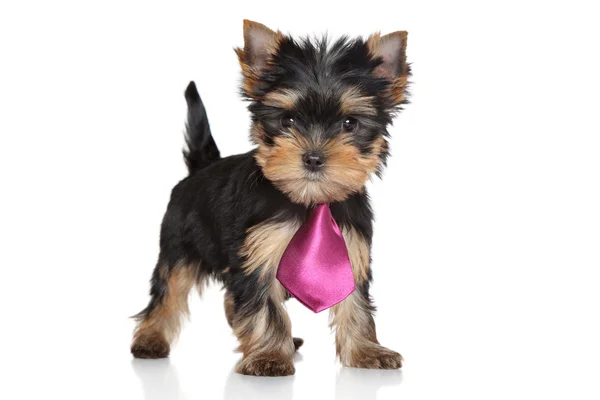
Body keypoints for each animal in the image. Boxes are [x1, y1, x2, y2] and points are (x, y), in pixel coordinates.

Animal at [131, 19, 410, 376]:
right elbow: (264, 306)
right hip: (178, 244)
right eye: (287, 120)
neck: (308, 199)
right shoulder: (257, 252)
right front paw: (269, 357)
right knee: (168, 290)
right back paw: (150, 338)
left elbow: (356, 303)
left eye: (350, 123)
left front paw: (366, 350)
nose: (313, 157)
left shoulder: (352, 249)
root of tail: (201, 167)